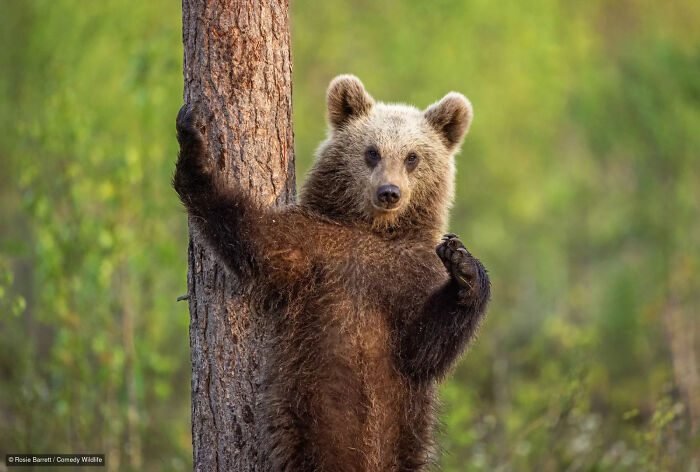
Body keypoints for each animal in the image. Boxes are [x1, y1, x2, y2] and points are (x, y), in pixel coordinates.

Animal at [173, 75, 491, 472]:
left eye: (412, 157)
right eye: (372, 152)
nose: (389, 192)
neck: (372, 230)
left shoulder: (410, 273)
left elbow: (426, 347)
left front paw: (464, 266)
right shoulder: (313, 248)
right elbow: (251, 234)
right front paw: (193, 146)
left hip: (405, 437)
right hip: (306, 425)